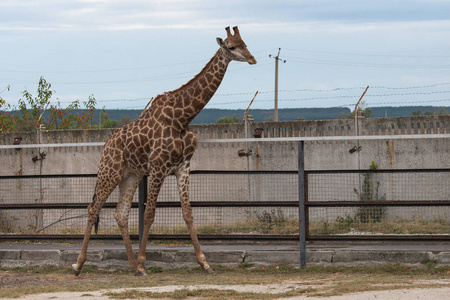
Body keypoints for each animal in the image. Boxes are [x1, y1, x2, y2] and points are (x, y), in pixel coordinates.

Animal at [73, 27, 256, 276]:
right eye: (231, 46)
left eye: (245, 43)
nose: (252, 59)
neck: (182, 118)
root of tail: (107, 144)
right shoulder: (158, 168)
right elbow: (149, 213)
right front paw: (143, 262)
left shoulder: (183, 168)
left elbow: (188, 213)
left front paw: (204, 262)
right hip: (110, 172)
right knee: (93, 208)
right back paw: (79, 264)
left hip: (130, 176)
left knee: (121, 213)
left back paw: (132, 266)